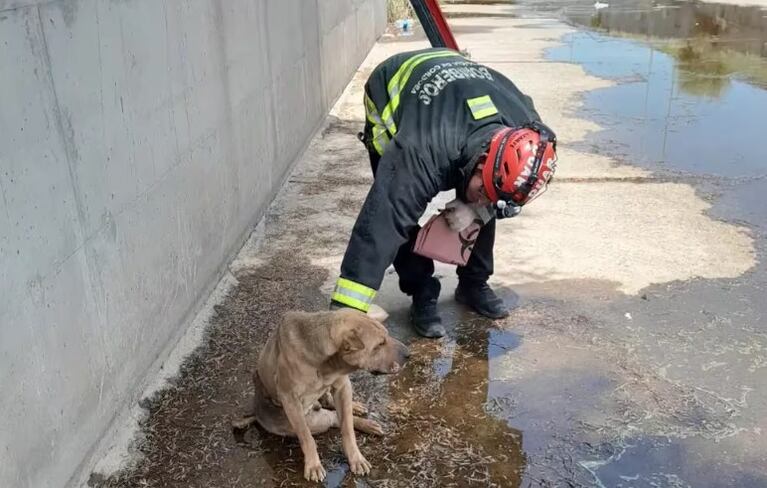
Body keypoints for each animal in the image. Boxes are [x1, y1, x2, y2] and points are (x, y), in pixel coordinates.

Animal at [234, 308, 412, 480]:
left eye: (387, 336)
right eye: (379, 344)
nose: (409, 354)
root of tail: (256, 413)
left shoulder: (343, 386)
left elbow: (347, 428)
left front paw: (356, 458)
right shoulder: (290, 400)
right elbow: (307, 437)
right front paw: (313, 465)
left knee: (334, 410)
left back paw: (361, 416)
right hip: (306, 420)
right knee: (331, 418)